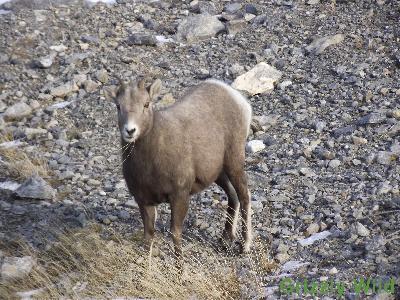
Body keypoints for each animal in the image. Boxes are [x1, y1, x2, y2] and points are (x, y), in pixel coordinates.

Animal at [104, 77, 253, 255]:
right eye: (118, 106)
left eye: (146, 104)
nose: (130, 130)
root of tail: (233, 95)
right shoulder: (144, 201)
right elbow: (148, 237)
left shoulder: (179, 196)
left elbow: (175, 234)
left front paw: (180, 264)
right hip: (218, 173)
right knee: (233, 196)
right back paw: (225, 240)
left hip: (234, 162)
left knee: (244, 196)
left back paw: (245, 246)